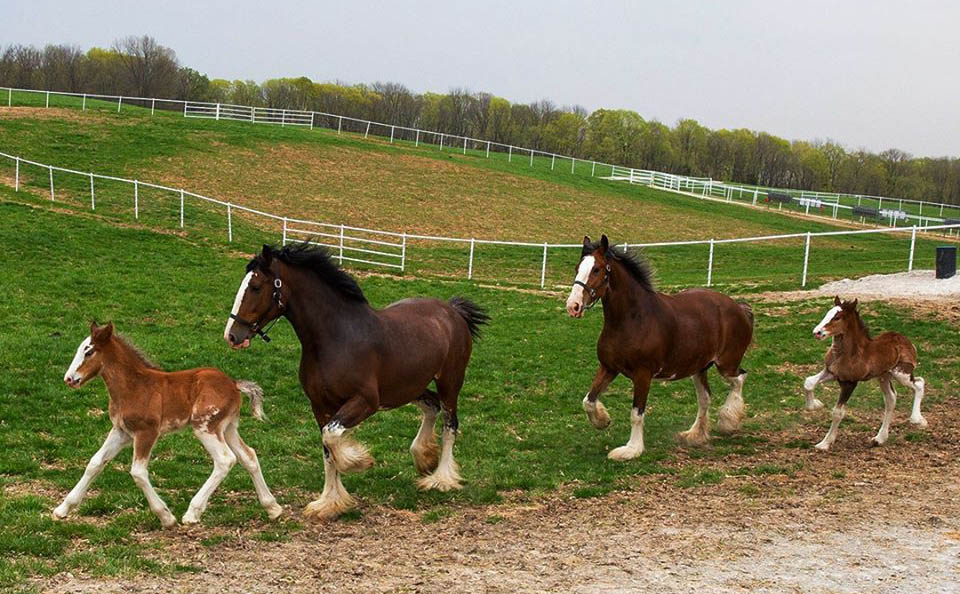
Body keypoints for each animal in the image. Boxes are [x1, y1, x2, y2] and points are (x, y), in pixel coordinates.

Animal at [55, 322, 282, 524]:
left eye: (89, 352)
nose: (69, 378)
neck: (133, 386)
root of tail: (234, 385)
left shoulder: (147, 432)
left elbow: (138, 473)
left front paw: (166, 517)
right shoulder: (121, 431)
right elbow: (95, 463)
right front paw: (62, 509)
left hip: (205, 427)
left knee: (225, 459)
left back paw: (192, 513)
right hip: (227, 428)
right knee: (248, 455)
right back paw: (273, 508)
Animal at [221, 243, 484, 516]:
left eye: (255, 286)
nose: (232, 335)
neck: (337, 337)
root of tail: (452, 310)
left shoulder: (365, 402)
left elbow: (332, 436)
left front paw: (358, 461)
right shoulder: (320, 406)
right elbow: (327, 450)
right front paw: (329, 502)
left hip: (449, 383)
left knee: (450, 423)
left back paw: (441, 478)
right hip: (409, 387)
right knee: (432, 406)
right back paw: (424, 457)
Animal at [564, 234, 756, 456]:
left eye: (597, 269)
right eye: (577, 267)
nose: (573, 306)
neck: (633, 319)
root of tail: (739, 307)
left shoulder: (643, 375)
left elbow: (636, 414)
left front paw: (631, 450)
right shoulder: (609, 367)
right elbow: (588, 400)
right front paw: (603, 421)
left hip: (726, 364)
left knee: (739, 379)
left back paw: (728, 421)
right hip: (699, 368)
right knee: (705, 398)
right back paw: (695, 435)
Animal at [808, 296, 928, 448]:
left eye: (837, 317)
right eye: (827, 313)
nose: (817, 332)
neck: (848, 353)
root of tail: (908, 342)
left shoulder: (850, 382)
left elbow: (837, 412)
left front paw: (824, 443)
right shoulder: (831, 373)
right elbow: (808, 382)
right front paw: (814, 405)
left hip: (901, 374)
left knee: (919, 383)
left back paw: (917, 419)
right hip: (884, 376)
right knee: (891, 398)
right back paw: (879, 438)